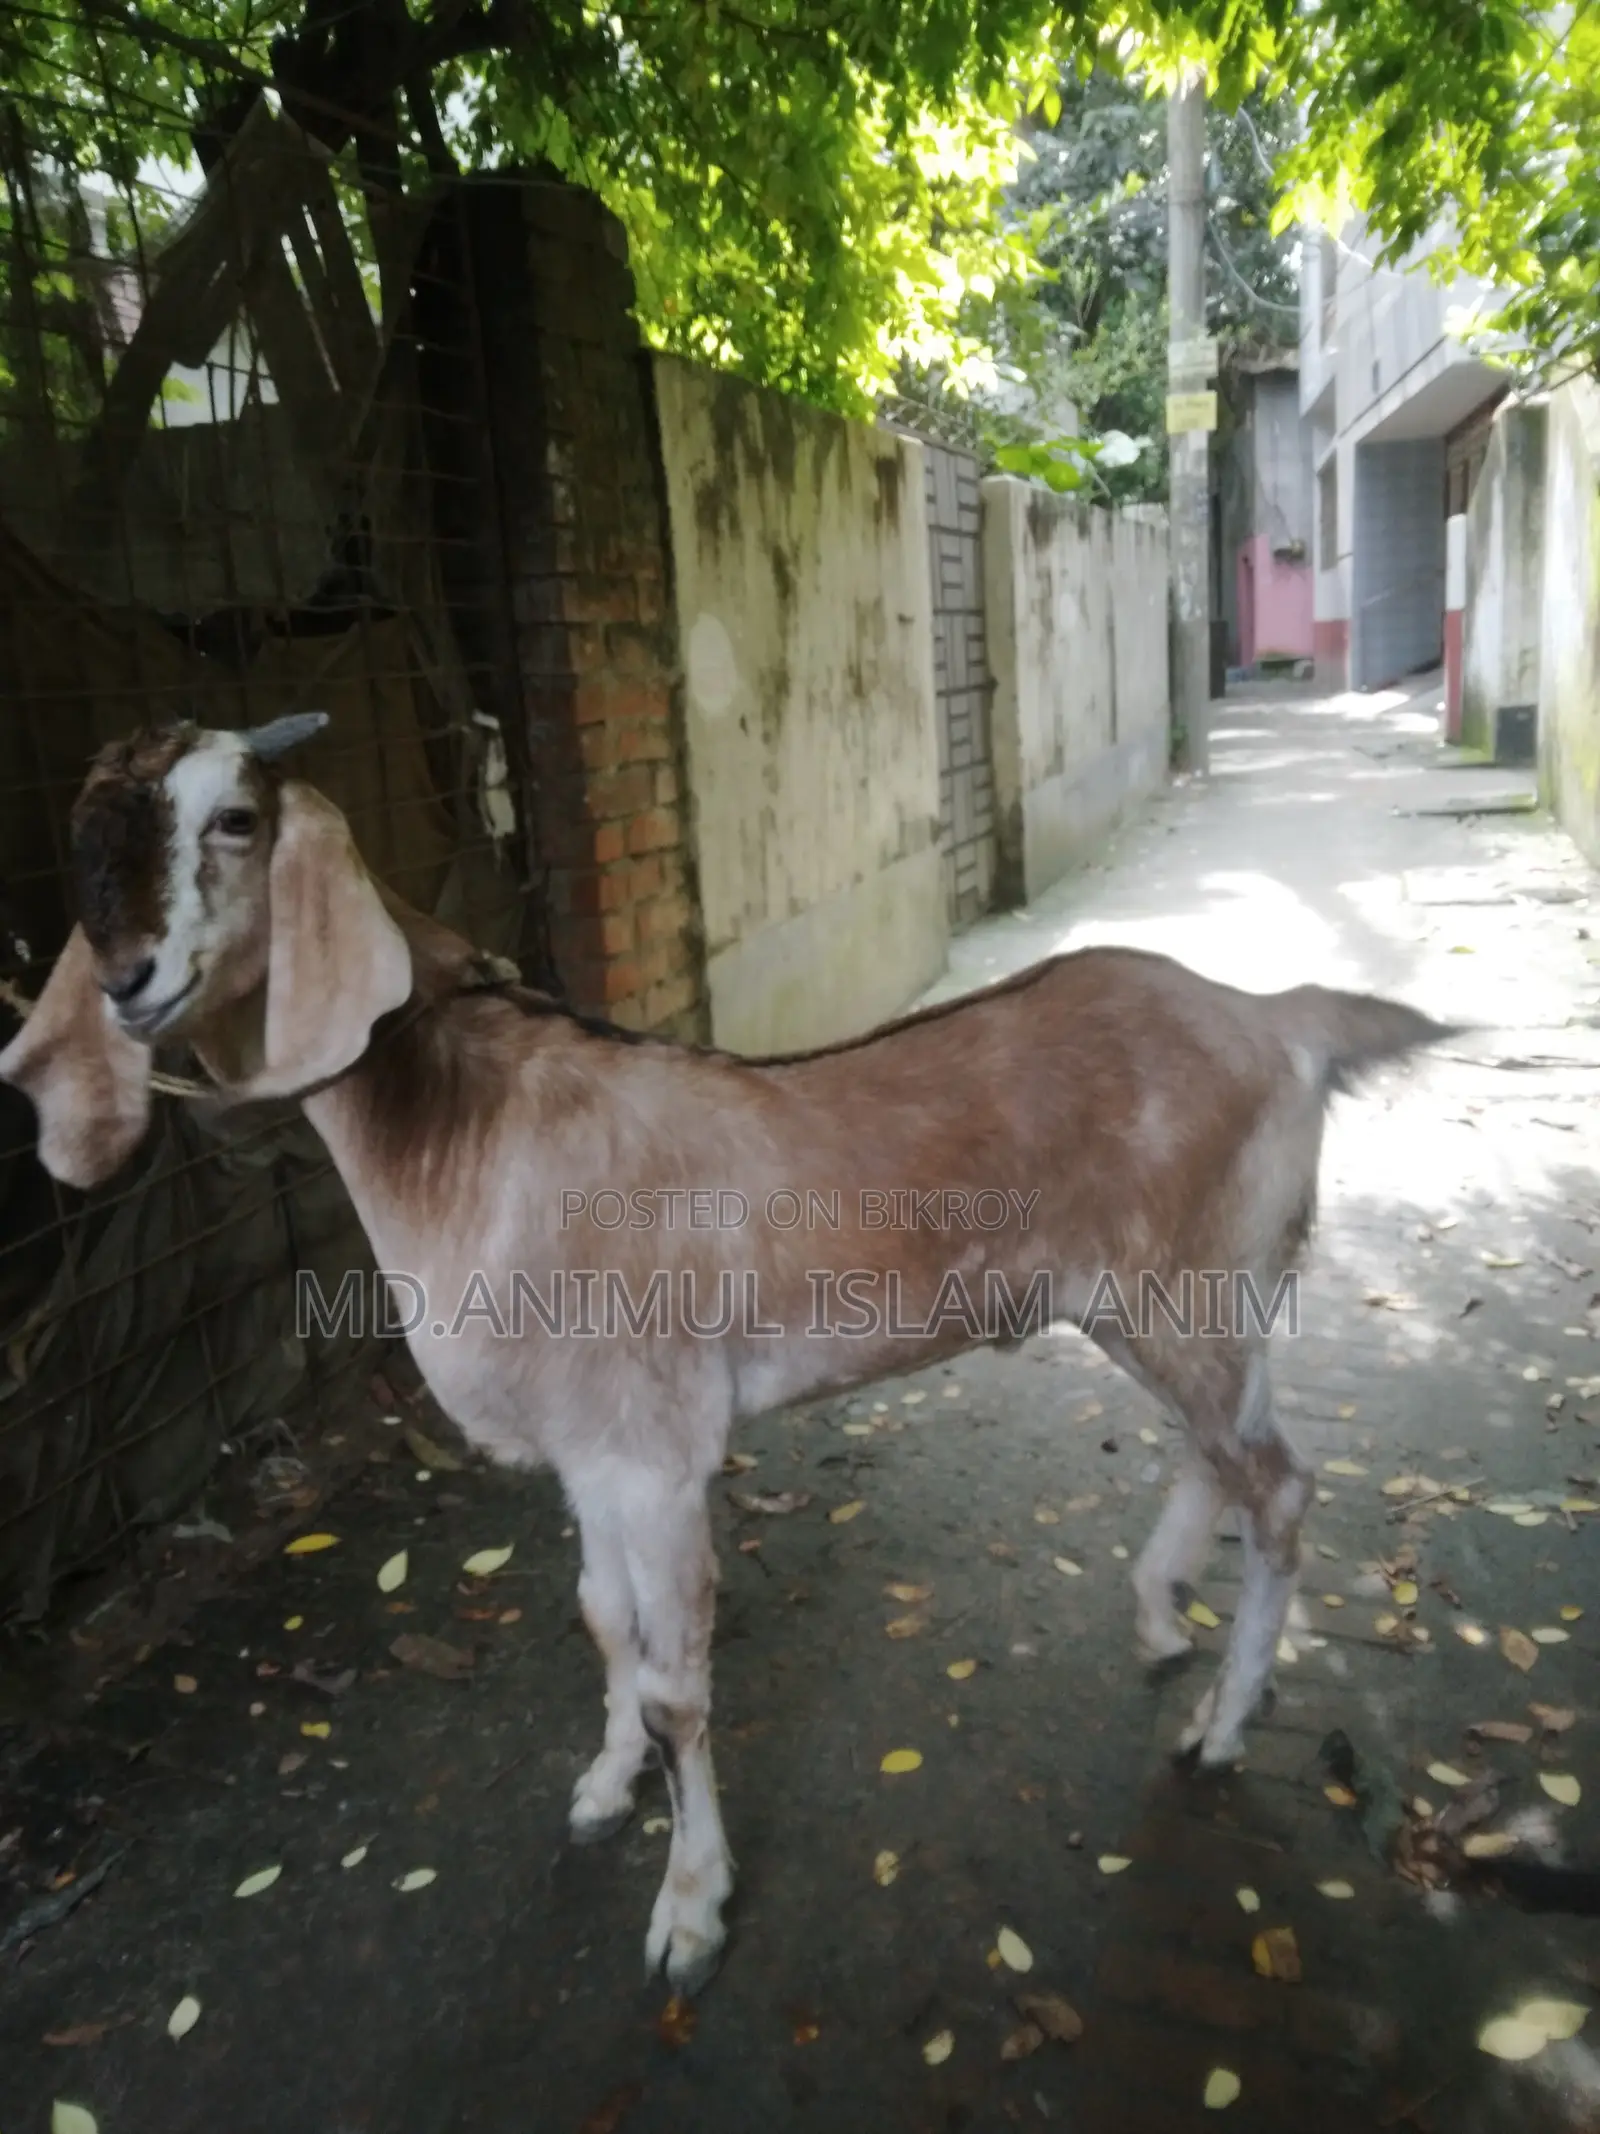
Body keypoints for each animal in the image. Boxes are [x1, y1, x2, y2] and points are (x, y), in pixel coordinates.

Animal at [0, 715, 1457, 1992]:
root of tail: (1280, 1017)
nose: (129, 981)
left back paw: (1219, 1726)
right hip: (1185, 1298)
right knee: (1226, 1452)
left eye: (235, 821)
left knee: (1280, 1483)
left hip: (1183, 1288)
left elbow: (673, 1687)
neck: (473, 1129)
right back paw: (1160, 1613)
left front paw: (690, 1908)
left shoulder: (655, 1453)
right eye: (84, 843)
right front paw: (600, 1787)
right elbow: (600, 1622)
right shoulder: (586, 1453)